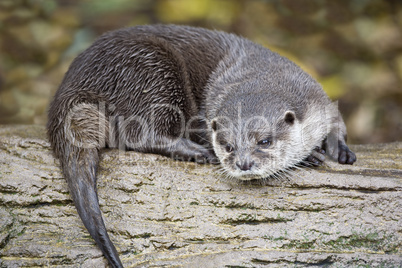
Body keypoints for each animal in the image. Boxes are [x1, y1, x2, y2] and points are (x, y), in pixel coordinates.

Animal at [46, 24, 354, 266]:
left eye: (264, 141)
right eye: (228, 146)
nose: (244, 164)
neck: (264, 72)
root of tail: (74, 86)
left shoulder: (319, 100)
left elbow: (337, 119)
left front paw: (339, 149)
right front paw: (311, 156)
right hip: (151, 69)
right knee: (137, 133)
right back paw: (196, 152)